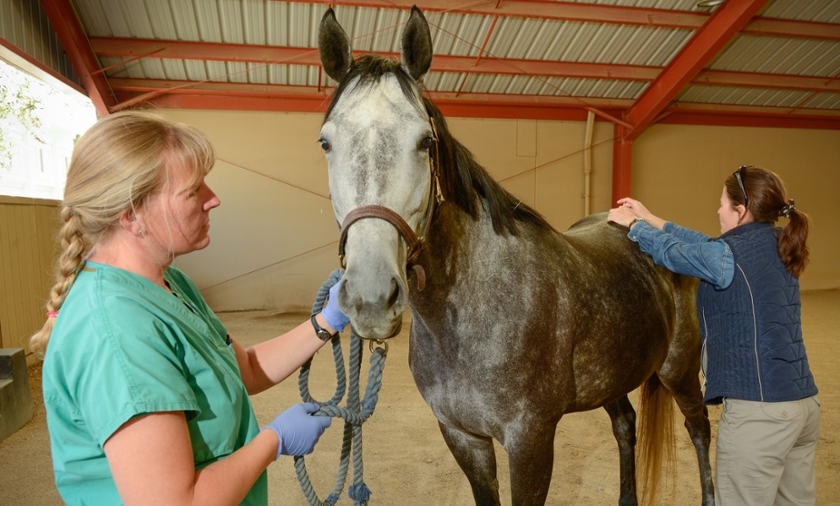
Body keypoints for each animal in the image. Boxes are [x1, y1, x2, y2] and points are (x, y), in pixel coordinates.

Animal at [318, 7, 712, 506]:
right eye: (326, 142)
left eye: (425, 142)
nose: (370, 297)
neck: (477, 308)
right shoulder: (462, 436)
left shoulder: (530, 441)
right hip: (616, 375)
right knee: (626, 426)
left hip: (680, 368)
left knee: (699, 431)